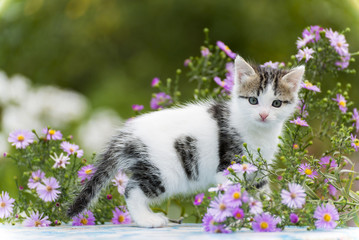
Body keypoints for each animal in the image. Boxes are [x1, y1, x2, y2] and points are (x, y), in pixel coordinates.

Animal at [67, 55, 304, 227]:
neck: (258, 131)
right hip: (163, 172)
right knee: (131, 190)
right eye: (253, 100)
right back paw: (148, 220)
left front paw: (270, 215)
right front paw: (238, 217)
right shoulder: (228, 165)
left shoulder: (259, 169)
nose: (263, 115)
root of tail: (128, 132)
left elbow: (261, 192)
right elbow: (233, 194)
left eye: (276, 103)